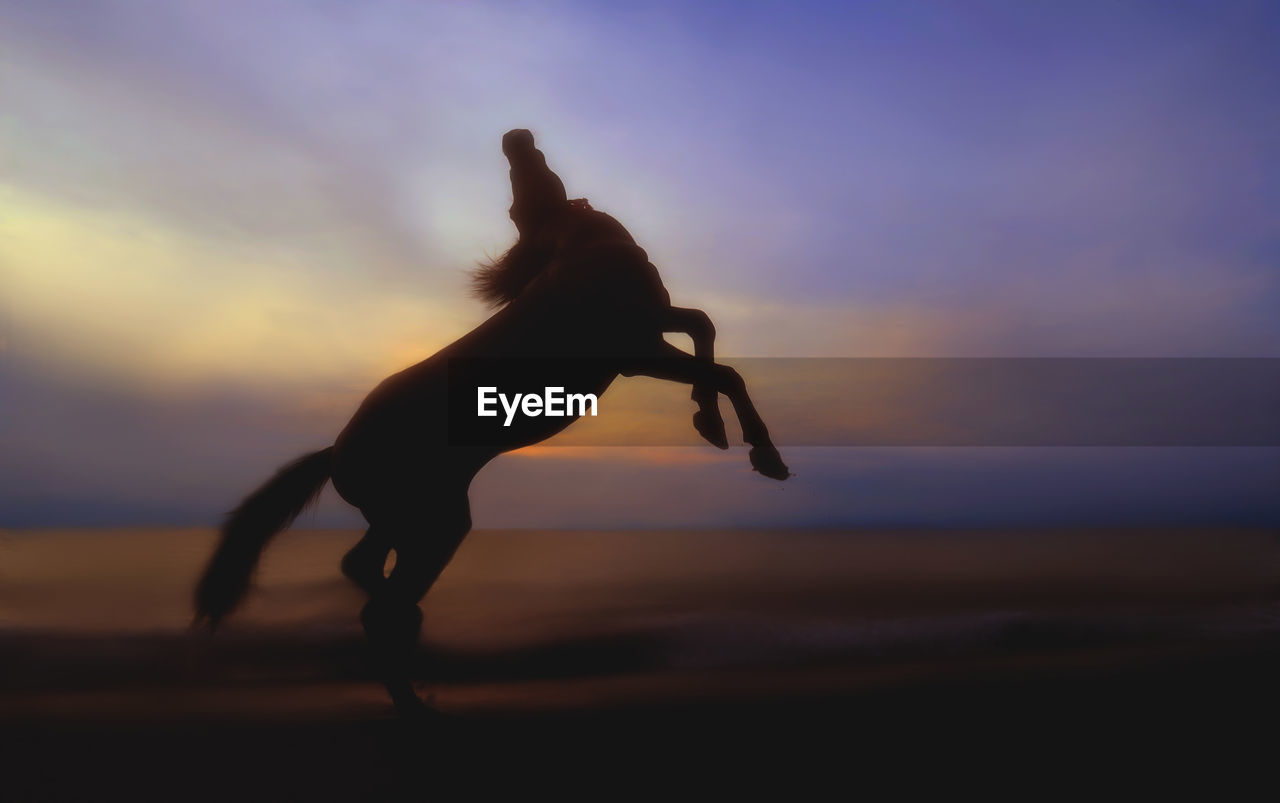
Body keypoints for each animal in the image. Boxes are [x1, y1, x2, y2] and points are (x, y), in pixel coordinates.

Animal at [193, 128, 783, 717]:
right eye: (515, 192)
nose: (514, 137)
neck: (580, 249)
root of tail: (337, 450)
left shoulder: (649, 336)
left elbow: (704, 330)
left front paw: (709, 423)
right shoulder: (636, 348)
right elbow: (725, 370)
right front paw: (763, 454)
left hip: (407, 519)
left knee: (362, 569)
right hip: (436, 524)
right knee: (380, 603)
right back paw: (415, 691)